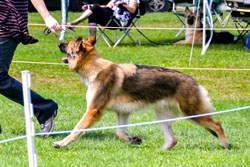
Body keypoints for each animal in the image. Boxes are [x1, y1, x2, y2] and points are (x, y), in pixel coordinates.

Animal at [53, 36, 231, 149]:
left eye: (67, 45)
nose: (59, 43)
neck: (94, 68)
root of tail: (194, 81)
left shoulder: (93, 111)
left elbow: (77, 130)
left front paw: (62, 143)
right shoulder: (122, 113)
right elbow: (120, 132)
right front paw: (133, 140)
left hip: (192, 114)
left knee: (217, 124)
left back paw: (226, 144)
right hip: (162, 117)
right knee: (172, 140)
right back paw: (160, 151)